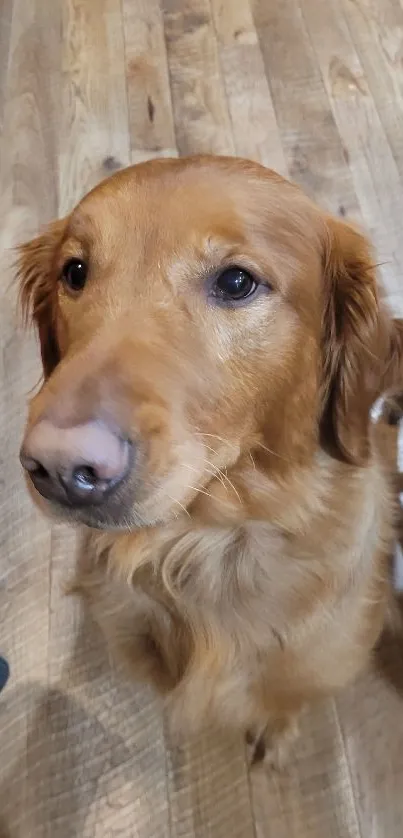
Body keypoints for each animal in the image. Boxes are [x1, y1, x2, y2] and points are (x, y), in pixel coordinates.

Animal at [17, 156, 403, 768]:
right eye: (74, 272)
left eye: (236, 282)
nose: (56, 467)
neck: (207, 543)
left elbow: (282, 701)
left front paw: (275, 732)